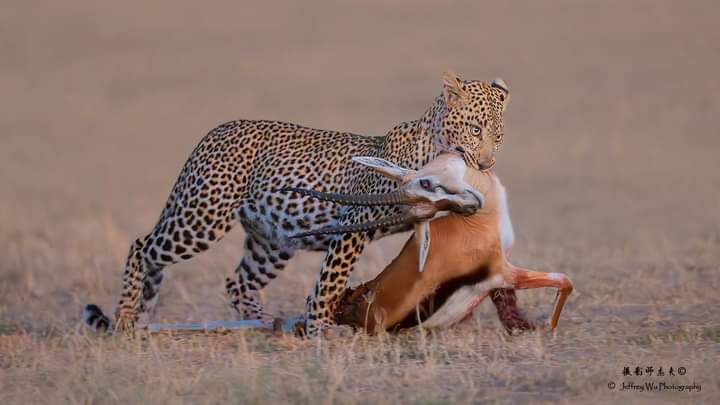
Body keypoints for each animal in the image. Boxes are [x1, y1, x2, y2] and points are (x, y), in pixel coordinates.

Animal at [83, 71, 521, 337]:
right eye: (475, 129)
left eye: (499, 136)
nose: (487, 164)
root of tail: (212, 133)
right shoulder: (353, 222)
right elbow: (331, 281)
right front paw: (320, 331)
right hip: (203, 217)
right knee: (142, 247)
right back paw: (124, 317)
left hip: (273, 239)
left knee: (238, 281)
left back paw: (262, 325)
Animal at [289, 153, 574, 334]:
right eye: (425, 185)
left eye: (431, 210)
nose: (470, 206)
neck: (481, 222)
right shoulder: (503, 272)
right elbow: (564, 280)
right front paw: (547, 327)